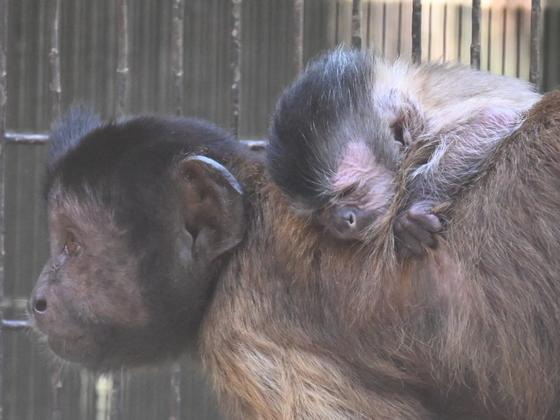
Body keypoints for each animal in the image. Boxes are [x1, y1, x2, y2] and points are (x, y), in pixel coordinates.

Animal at [270, 47, 540, 254]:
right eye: (320, 213)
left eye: (350, 190)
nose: (340, 221)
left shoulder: (432, 121)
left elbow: (493, 119)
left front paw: (413, 208)